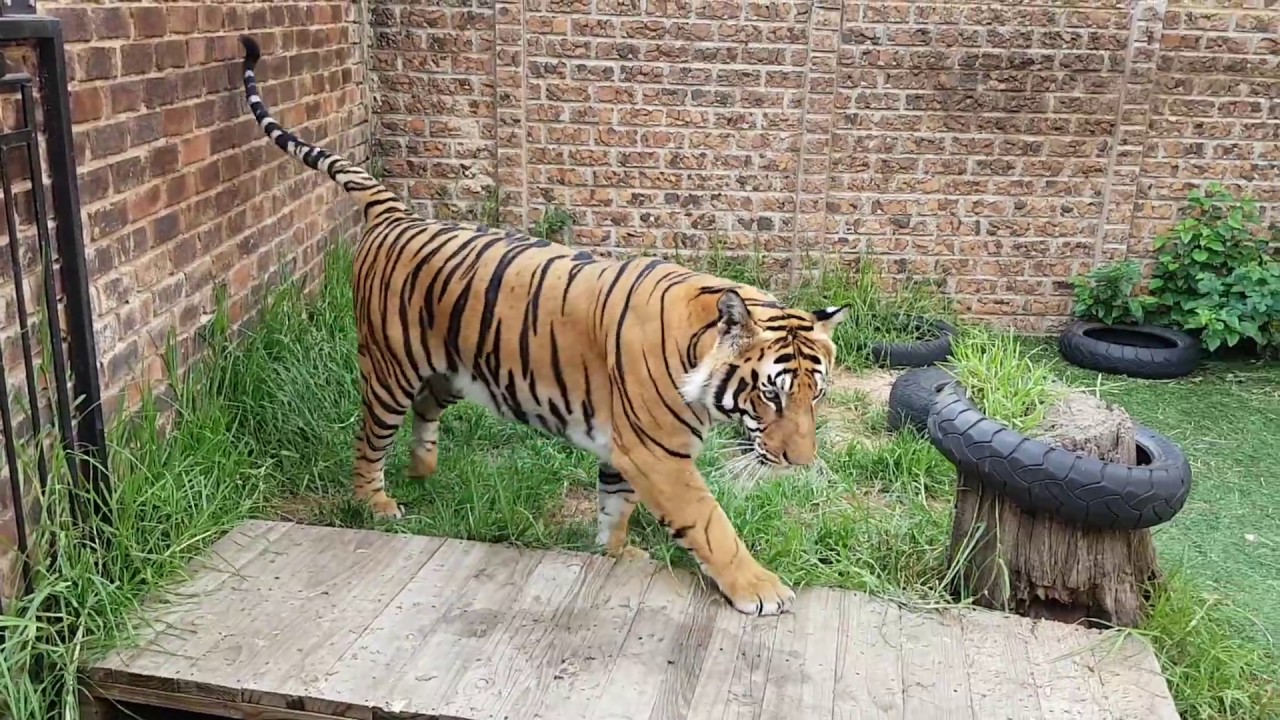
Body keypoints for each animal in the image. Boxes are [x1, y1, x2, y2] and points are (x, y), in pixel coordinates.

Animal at [239, 35, 848, 616]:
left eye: (815, 397)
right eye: (770, 395)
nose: (801, 464)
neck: (696, 353)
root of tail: (397, 213)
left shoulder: (624, 450)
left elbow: (615, 506)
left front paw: (616, 554)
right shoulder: (661, 456)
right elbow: (710, 524)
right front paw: (760, 588)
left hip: (451, 371)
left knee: (425, 410)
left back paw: (424, 470)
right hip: (390, 368)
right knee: (369, 441)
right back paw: (377, 504)